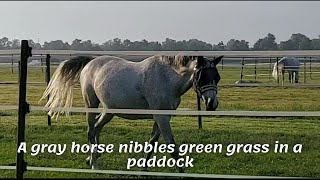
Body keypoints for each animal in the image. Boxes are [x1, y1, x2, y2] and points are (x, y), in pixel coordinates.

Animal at [39, 54, 222, 172]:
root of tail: (91, 62)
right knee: (91, 130)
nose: (212, 104)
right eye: (202, 76)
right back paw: (93, 164)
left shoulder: (162, 117)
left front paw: (144, 169)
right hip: (91, 105)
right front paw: (181, 172)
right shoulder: (162, 118)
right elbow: (172, 147)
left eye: (217, 77)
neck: (167, 78)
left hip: (109, 111)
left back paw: (93, 157)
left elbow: (152, 143)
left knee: (97, 127)